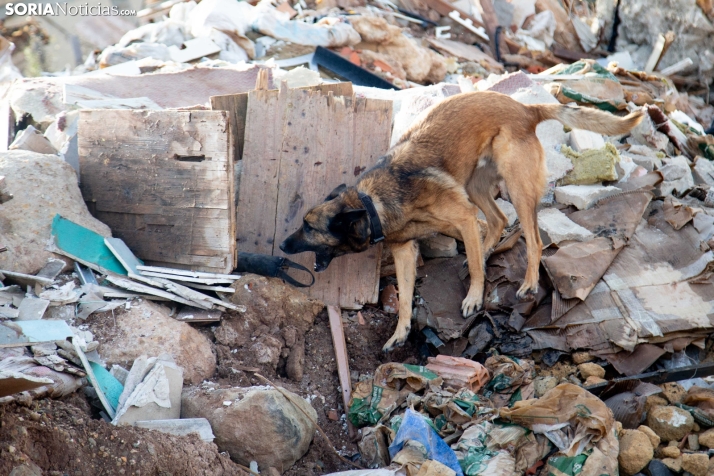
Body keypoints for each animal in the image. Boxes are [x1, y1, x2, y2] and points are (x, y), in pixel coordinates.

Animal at [280, 92, 644, 350]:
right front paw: (401, 332)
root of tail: (526, 109)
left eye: (309, 227)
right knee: (498, 220)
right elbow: (405, 297)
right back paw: (482, 258)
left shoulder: (463, 217)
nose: (282, 245)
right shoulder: (404, 251)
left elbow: (476, 261)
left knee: (532, 238)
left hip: (515, 188)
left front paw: (474, 298)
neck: (372, 204)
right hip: (475, 185)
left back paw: (526, 282)